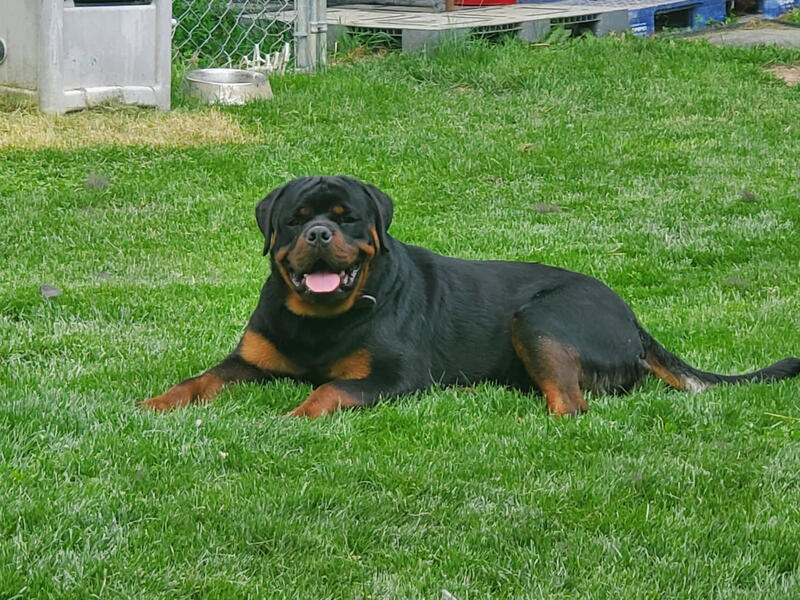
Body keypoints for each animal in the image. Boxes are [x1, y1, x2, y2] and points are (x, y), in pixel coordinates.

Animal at [139, 175, 800, 417]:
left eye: (348, 219)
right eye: (296, 220)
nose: (320, 235)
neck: (321, 318)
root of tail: (632, 317)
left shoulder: (396, 377)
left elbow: (329, 388)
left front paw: (296, 415)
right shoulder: (248, 361)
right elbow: (198, 379)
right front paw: (154, 402)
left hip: (541, 317)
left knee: (572, 404)